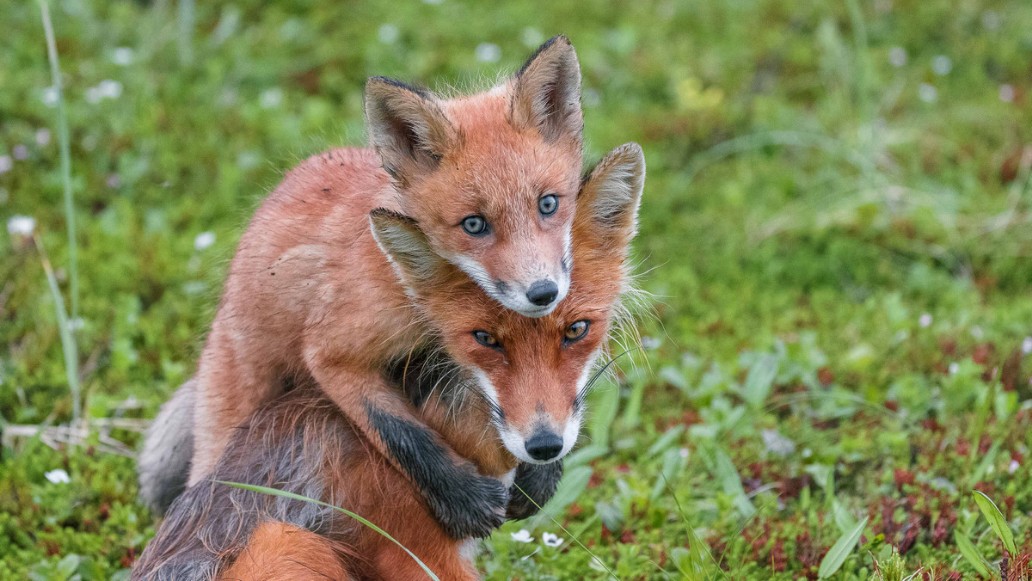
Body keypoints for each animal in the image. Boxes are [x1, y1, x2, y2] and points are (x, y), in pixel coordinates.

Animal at [170, 35, 590, 536]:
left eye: (548, 204)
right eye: (474, 224)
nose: (543, 293)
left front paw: (543, 471)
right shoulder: (333, 350)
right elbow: (400, 433)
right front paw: (464, 498)